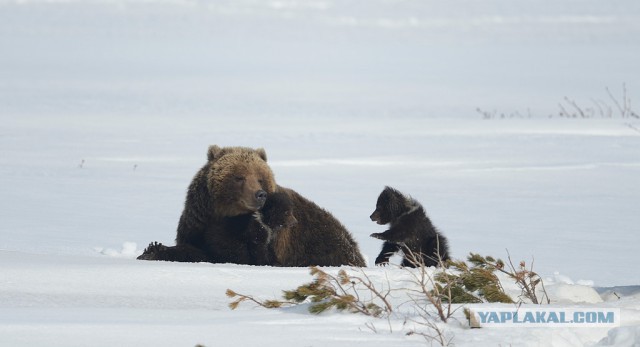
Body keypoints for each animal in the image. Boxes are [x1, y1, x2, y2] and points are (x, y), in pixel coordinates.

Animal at [138, 145, 364, 268]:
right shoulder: (198, 220)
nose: (260, 194)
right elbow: (192, 246)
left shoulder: (269, 237)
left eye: (260, 177)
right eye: (239, 177)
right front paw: (154, 249)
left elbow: (238, 255)